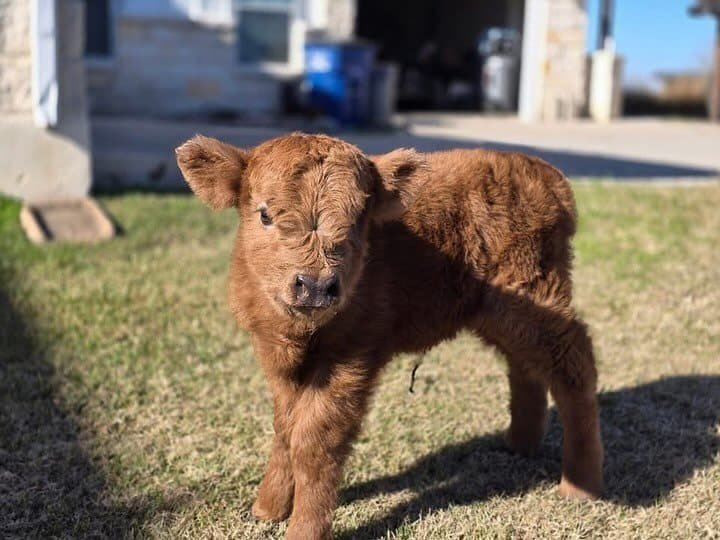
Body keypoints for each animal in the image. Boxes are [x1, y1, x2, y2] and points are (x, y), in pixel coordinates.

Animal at [175, 133, 604, 540]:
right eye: (264, 214)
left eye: (357, 219)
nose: (315, 286)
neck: (297, 336)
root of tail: (545, 173)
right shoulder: (275, 358)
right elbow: (284, 428)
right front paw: (267, 509)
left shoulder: (350, 356)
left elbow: (314, 441)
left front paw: (303, 530)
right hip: (502, 314)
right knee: (525, 366)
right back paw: (521, 445)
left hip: (536, 298)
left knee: (574, 366)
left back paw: (580, 484)